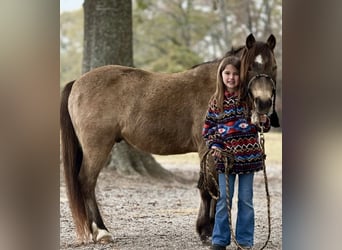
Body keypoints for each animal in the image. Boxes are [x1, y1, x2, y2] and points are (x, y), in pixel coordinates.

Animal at [59, 33, 278, 242]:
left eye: (274, 66)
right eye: (249, 67)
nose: (264, 103)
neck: (218, 87)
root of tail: (77, 82)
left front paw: (205, 228)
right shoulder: (207, 149)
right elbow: (209, 188)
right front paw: (207, 231)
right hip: (97, 147)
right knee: (86, 182)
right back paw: (102, 231)